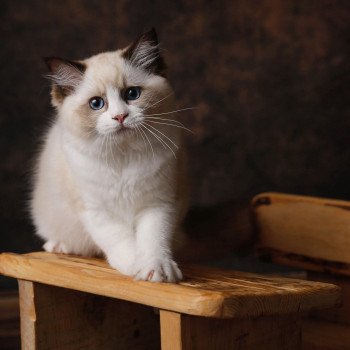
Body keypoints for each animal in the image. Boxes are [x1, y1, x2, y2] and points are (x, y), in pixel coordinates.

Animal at [30, 28, 189, 284]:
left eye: (132, 94)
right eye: (97, 103)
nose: (120, 117)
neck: (123, 156)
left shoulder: (158, 204)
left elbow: (153, 241)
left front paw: (155, 270)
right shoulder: (97, 212)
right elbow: (124, 243)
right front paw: (135, 268)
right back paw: (58, 246)